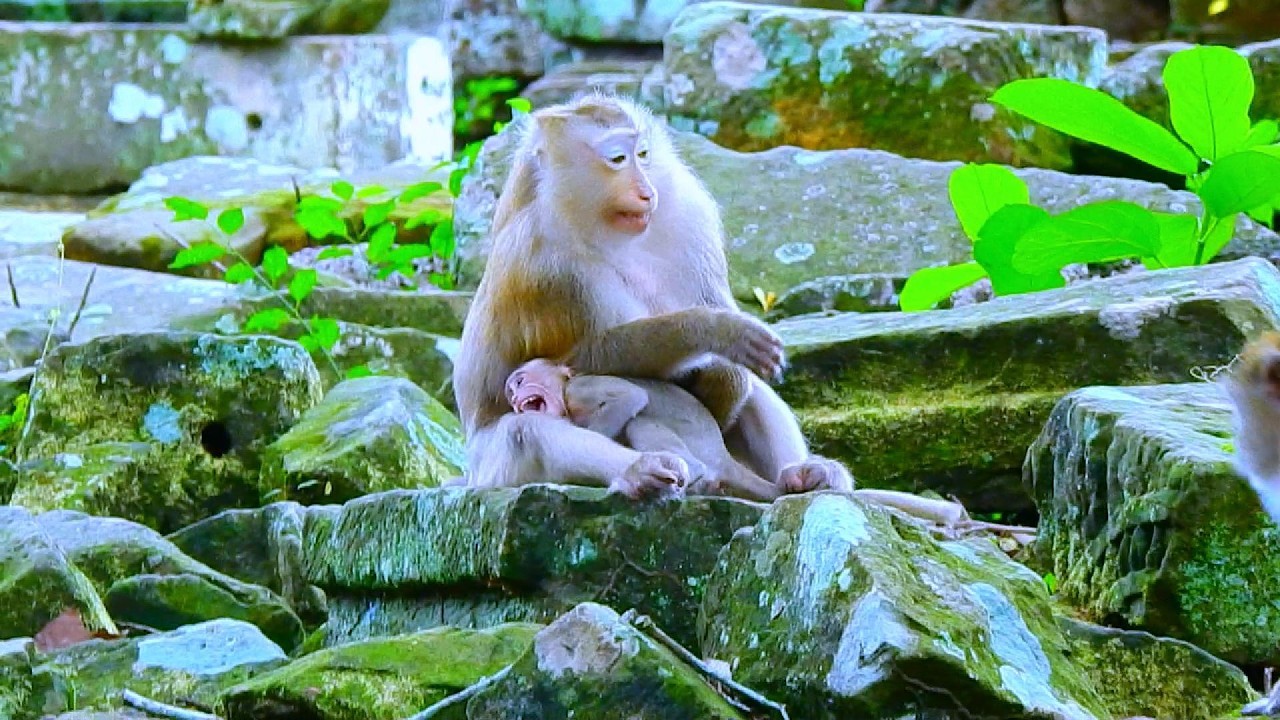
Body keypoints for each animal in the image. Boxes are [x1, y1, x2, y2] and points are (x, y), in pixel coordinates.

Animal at [504, 358, 783, 501]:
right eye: (511, 392)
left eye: (520, 381)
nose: (515, 398)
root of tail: (723, 455)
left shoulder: (579, 389)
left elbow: (630, 398)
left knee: (640, 422)